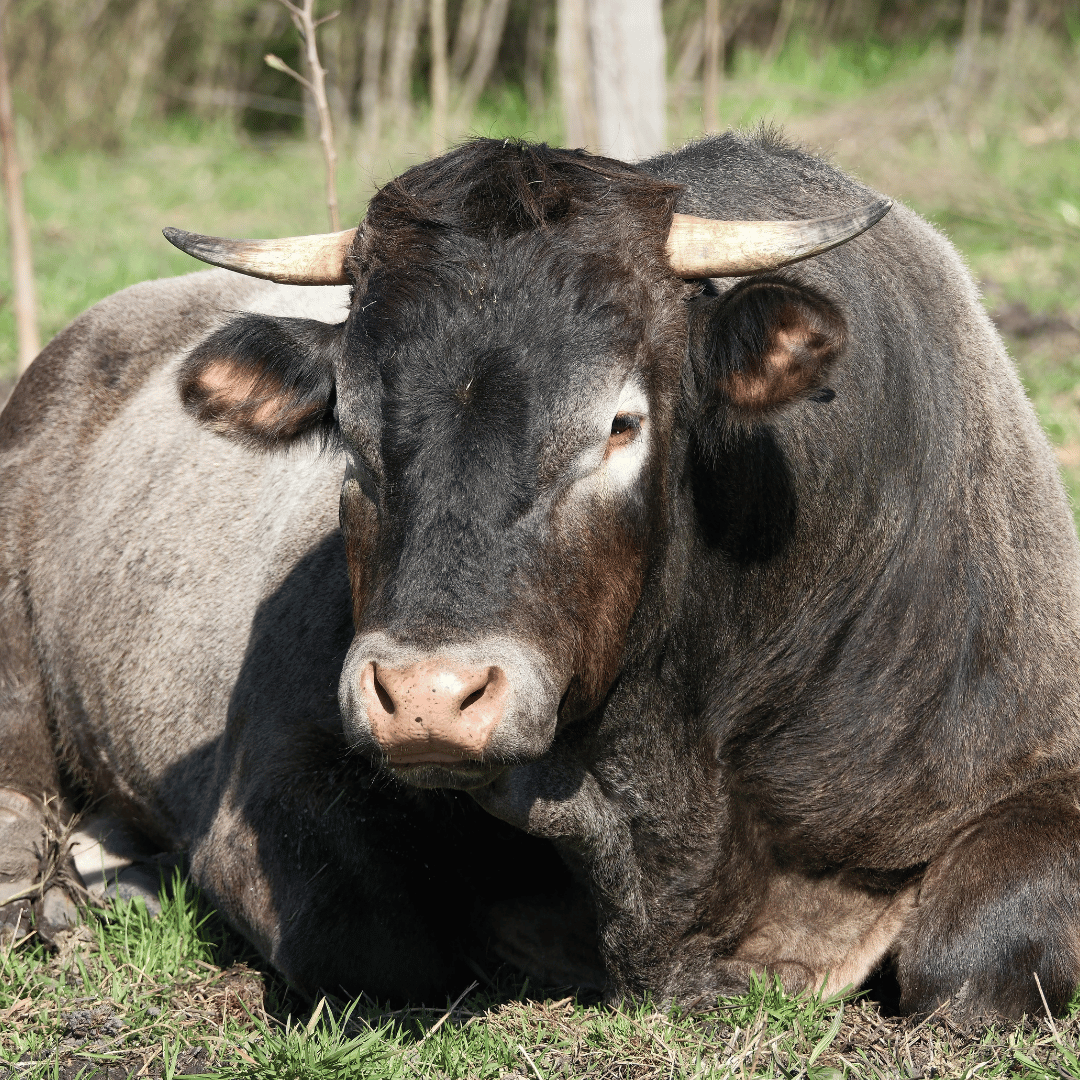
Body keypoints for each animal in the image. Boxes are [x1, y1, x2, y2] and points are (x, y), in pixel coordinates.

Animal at [2, 132, 1080, 1019]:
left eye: (620, 422)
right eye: (348, 426)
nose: (427, 698)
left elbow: (969, 961)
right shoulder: (271, 784)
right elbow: (376, 939)